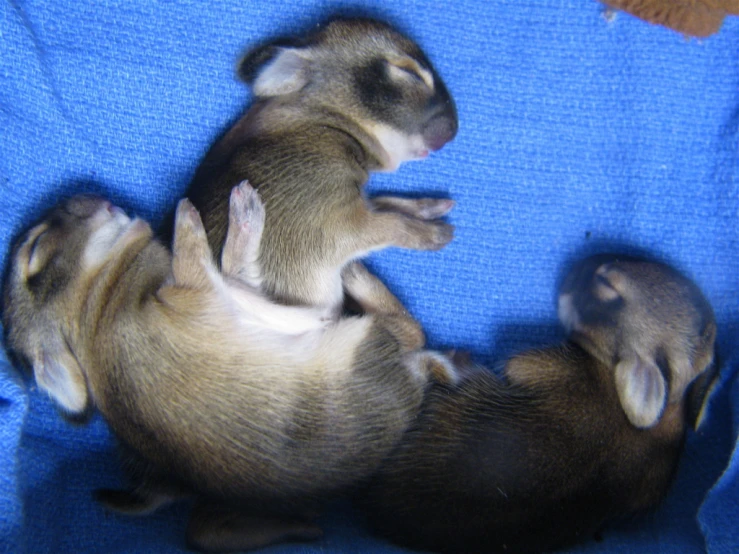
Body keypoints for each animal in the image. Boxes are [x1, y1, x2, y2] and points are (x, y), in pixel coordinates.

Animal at [2, 180, 456, 548]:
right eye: (36, 251)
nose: (78, 194)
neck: (96, 297)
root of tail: (419, 374)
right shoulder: (192, 297)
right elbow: (210, 269)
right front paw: (192, 214)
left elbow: (240, 281)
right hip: (363, 340)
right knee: (409, 329)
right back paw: (355, 274)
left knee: (205, 533)